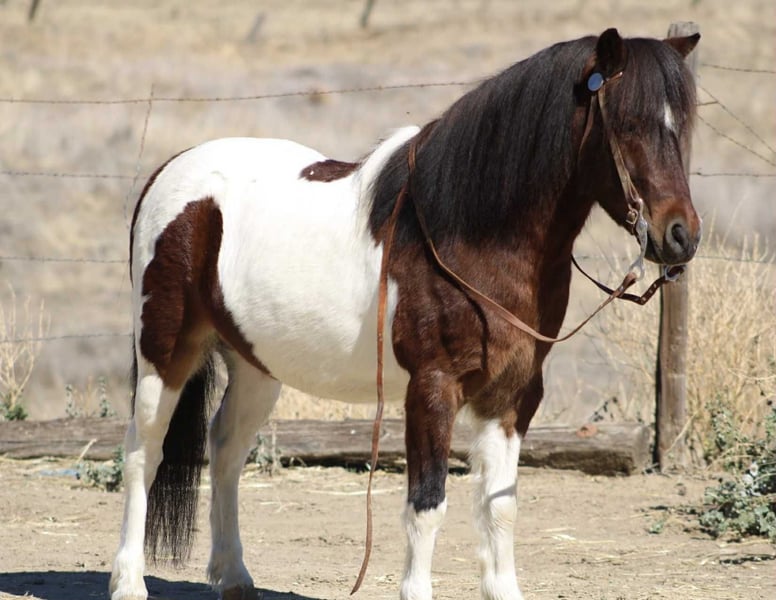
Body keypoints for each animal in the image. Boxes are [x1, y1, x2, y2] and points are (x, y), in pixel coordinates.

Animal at [110, 28, 701, 600]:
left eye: (684, 127)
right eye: (628, 124)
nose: (681, 236)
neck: (468, 236)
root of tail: (169, 172)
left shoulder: (512, 396)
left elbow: (500, 505)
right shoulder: (432, 390)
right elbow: (427, 505)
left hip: (255, 365)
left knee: (226, 449)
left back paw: (234, 576)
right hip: (165, 352)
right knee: (144, 452)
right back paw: (129, 582)